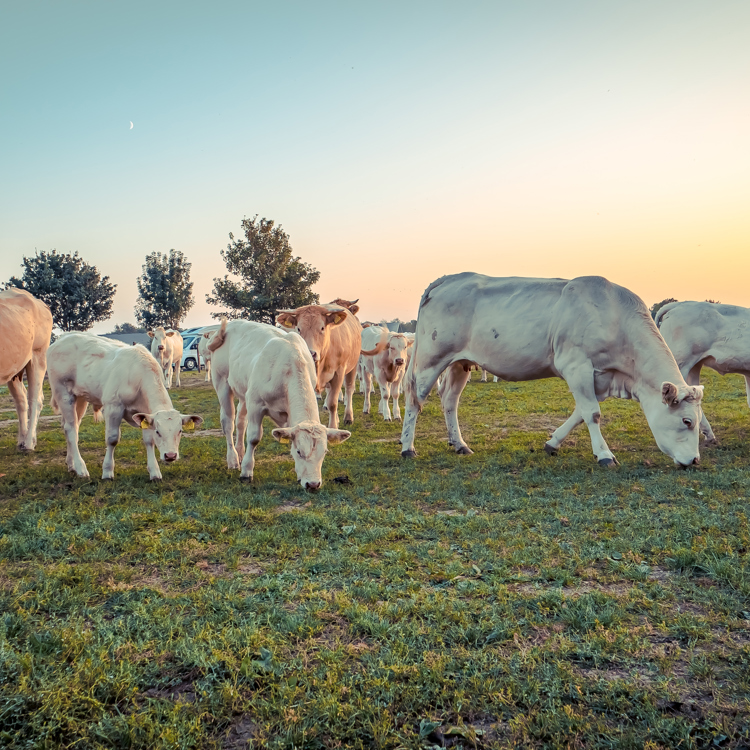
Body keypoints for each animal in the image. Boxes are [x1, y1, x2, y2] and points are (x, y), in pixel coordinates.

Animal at [0, 288, 53, 452]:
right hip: (15, 367)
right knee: (21, 400)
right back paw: (23, 441)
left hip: (38, 355)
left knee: (35, 399)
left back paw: (29, 443)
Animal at [48, 334, 204, 482]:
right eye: (158, 432)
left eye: (180, 431)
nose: (170, 455)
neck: (138, 377)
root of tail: (61, 340)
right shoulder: (113, 407)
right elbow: (112, 439)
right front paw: (107, 472)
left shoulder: (145, 413)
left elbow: (149, 440)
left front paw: (154, 472)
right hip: (63, 393)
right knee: (71, 429)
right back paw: (81, 469)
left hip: (80, 397)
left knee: (72, 426)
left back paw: (71, 465)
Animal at [207, 316, 352, 488]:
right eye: (299, 452)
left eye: (324, 452)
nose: (313, 484)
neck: (289, 368)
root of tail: (229, 325)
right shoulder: (255, 404)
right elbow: (254, 437)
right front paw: (246, 472)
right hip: (222, 383)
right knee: (228, 423)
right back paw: (233, 459)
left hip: (244, 393)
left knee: (240, 422)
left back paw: (240, 452)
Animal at [402, 274, 708, 468]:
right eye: (687, 421)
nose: (694, 460)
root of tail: (449, 278)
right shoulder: (576, 366)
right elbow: (592, 414)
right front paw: (604, 455)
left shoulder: (601, 377)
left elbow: (580, 414)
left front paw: (553, 443)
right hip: (431, 359)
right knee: (415, 398)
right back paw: (407, 448)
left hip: (460, 363)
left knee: (449, 401)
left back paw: (459, 444)